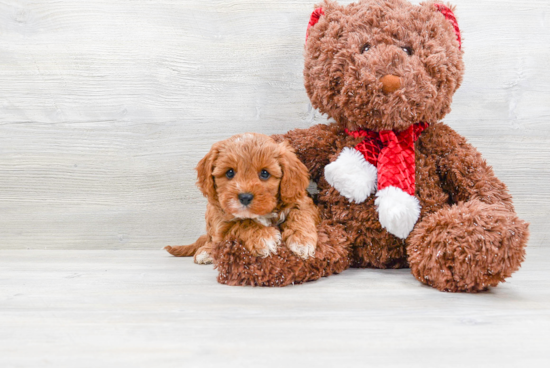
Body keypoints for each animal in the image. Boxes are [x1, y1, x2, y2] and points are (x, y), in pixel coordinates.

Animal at [165, 134, 320, 264]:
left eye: (265, 173)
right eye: (229, 172)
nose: (245, 197)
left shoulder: (302, 201)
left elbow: (299, 214)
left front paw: (301, 240)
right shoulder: (220, 223)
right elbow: (242, 223)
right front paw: (264, 237)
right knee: (211, 240)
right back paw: (206, 252)